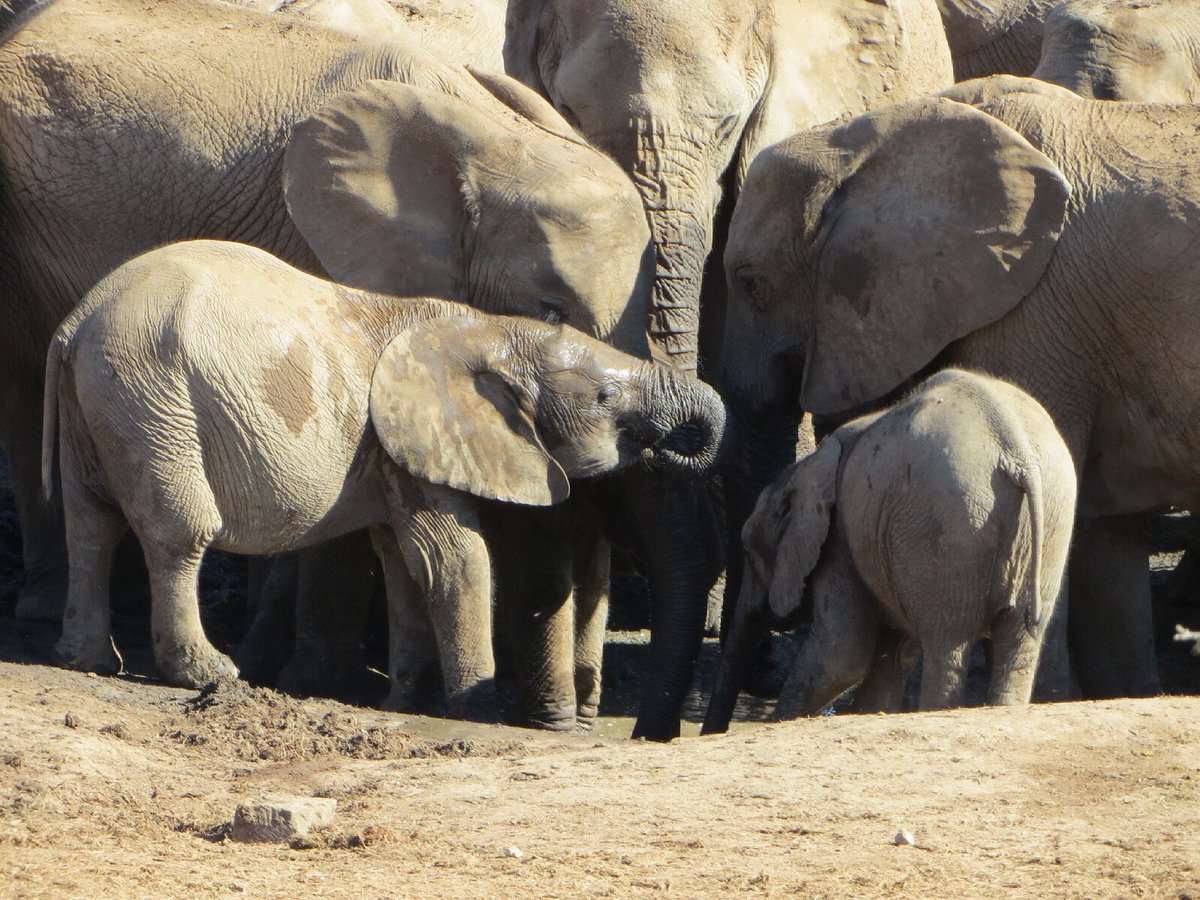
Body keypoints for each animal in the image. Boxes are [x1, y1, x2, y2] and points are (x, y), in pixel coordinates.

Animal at [46, 240, 725, 717]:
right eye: (607, 397)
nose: (671, 449)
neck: (486, 329)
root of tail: (75, 322)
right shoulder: (416, 438)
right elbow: (452, 556)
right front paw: (475, 704)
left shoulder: (391, 449)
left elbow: (403, 560)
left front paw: (409, 701)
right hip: (150, 394)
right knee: (180, 529)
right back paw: (210, 674)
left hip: (104, 402)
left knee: (89, 522)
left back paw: (87, 660)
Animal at [703, 370, 1076, 732]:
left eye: (748, 550)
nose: (713, 731)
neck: (805, 467)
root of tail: (1016, 450)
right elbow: (891, 658)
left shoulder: (839, 541)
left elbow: (841, 656)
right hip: (1046, 523)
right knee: (1020, 643)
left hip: (950, 527)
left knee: (947, 644)